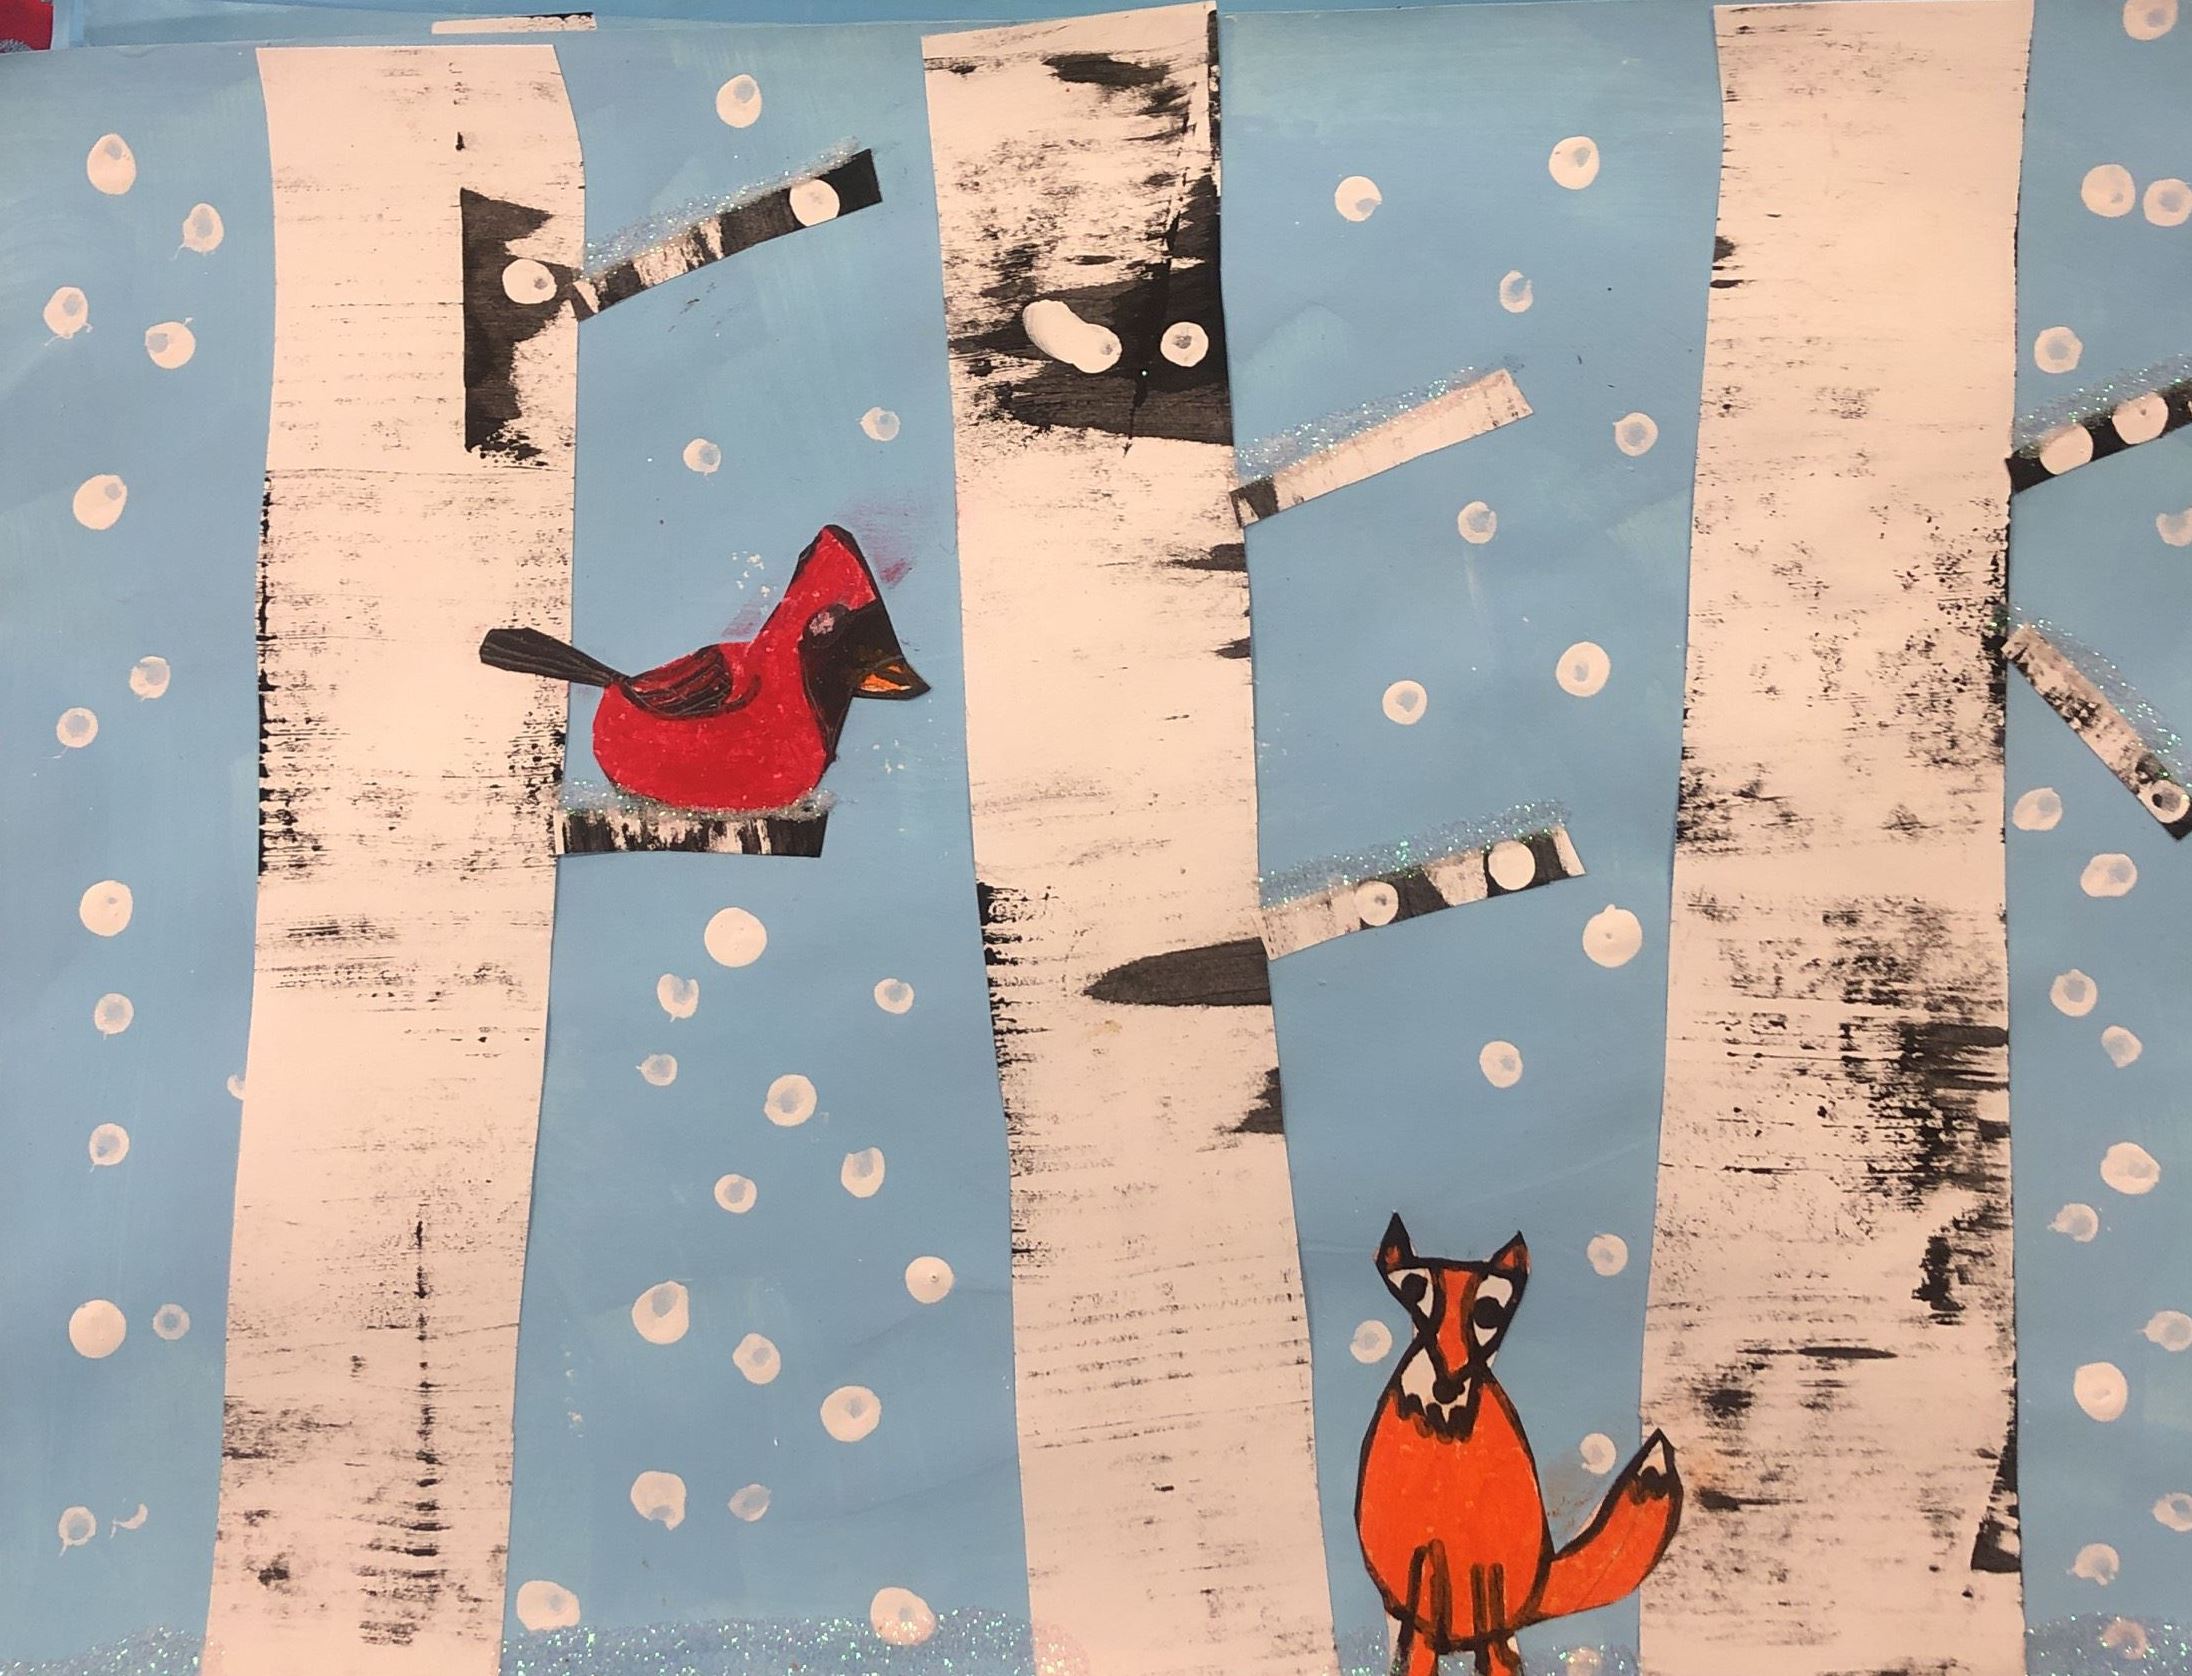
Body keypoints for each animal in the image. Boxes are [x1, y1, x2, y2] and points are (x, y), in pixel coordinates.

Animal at [1356, 1215, 1683, 1676]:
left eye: (1490, 1312)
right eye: (1414, 1292)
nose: (1447, 1385)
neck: (1444, 1433)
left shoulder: (1489, 1571)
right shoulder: (1411, 1581)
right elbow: (1412, 1645)